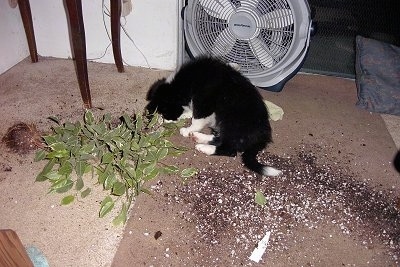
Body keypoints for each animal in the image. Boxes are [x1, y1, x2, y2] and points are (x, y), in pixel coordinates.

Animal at [146, 57, 282, 178]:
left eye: (165, 112)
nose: (165, 120)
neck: (186, 82)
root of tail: (262, 137)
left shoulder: (204, 102)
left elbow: (197, 119)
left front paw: (188, 129)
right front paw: (187, 117)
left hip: (231, 121)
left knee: (230, 149)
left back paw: (204, 147)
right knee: (222, 139)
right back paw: (198, 137)